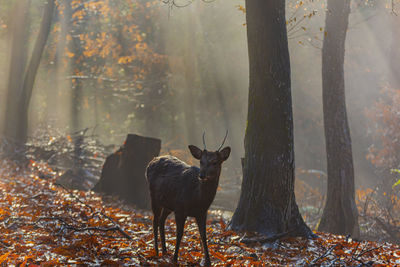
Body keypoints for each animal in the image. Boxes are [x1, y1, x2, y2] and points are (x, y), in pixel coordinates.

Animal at [145, 133, 230, 266]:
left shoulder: (202, 213)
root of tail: (150, 162)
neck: (198, 199)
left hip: (168, 204)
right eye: (201, 161)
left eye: (215, 162)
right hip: (154, 197)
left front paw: (208, 261)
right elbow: (179, 233)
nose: (202, 175)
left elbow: (203, 235)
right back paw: (157, 251)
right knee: (155, 221)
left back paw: (165, 251)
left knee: (161, 220)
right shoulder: (180, 208)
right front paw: (175, 259)